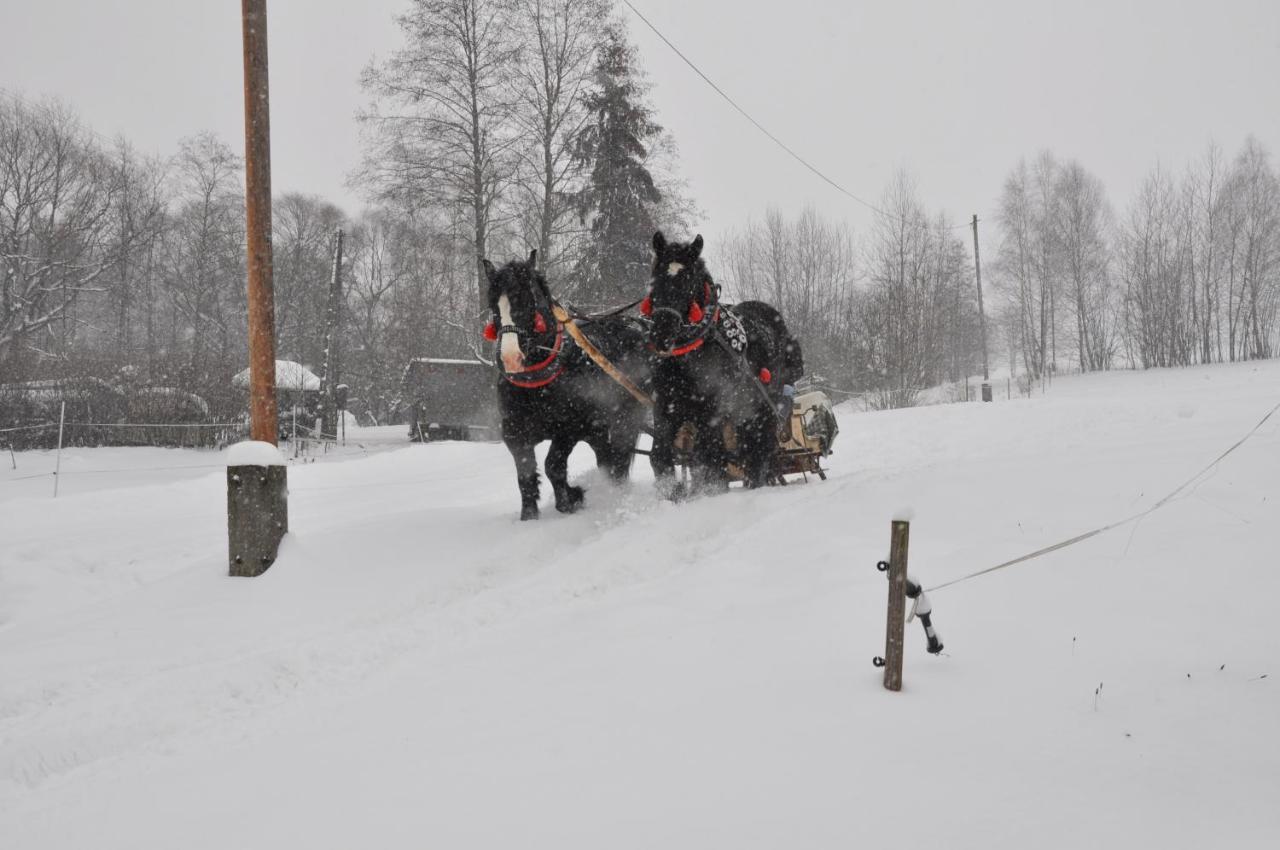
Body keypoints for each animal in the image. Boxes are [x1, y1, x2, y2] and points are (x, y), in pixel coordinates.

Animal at [486, 249, 655, 522]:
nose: (511, 359)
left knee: (619, 457)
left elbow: (553, 465)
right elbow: (525, 473)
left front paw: (570, 499)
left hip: (626, 418)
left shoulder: (570, 427)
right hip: (599, 429)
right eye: (493, 306)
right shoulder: (514, 430)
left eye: (528, 301)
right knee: (607, 459)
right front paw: (529, 515)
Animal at [650, 232, 798, 494]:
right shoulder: (666, 408)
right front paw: (673, 493)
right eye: (655, 278)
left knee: (759, 450)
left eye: (688, 281)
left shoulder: (712, 412)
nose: (661, 333)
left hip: (763, 408)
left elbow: (711, 460)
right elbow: (660, 455)